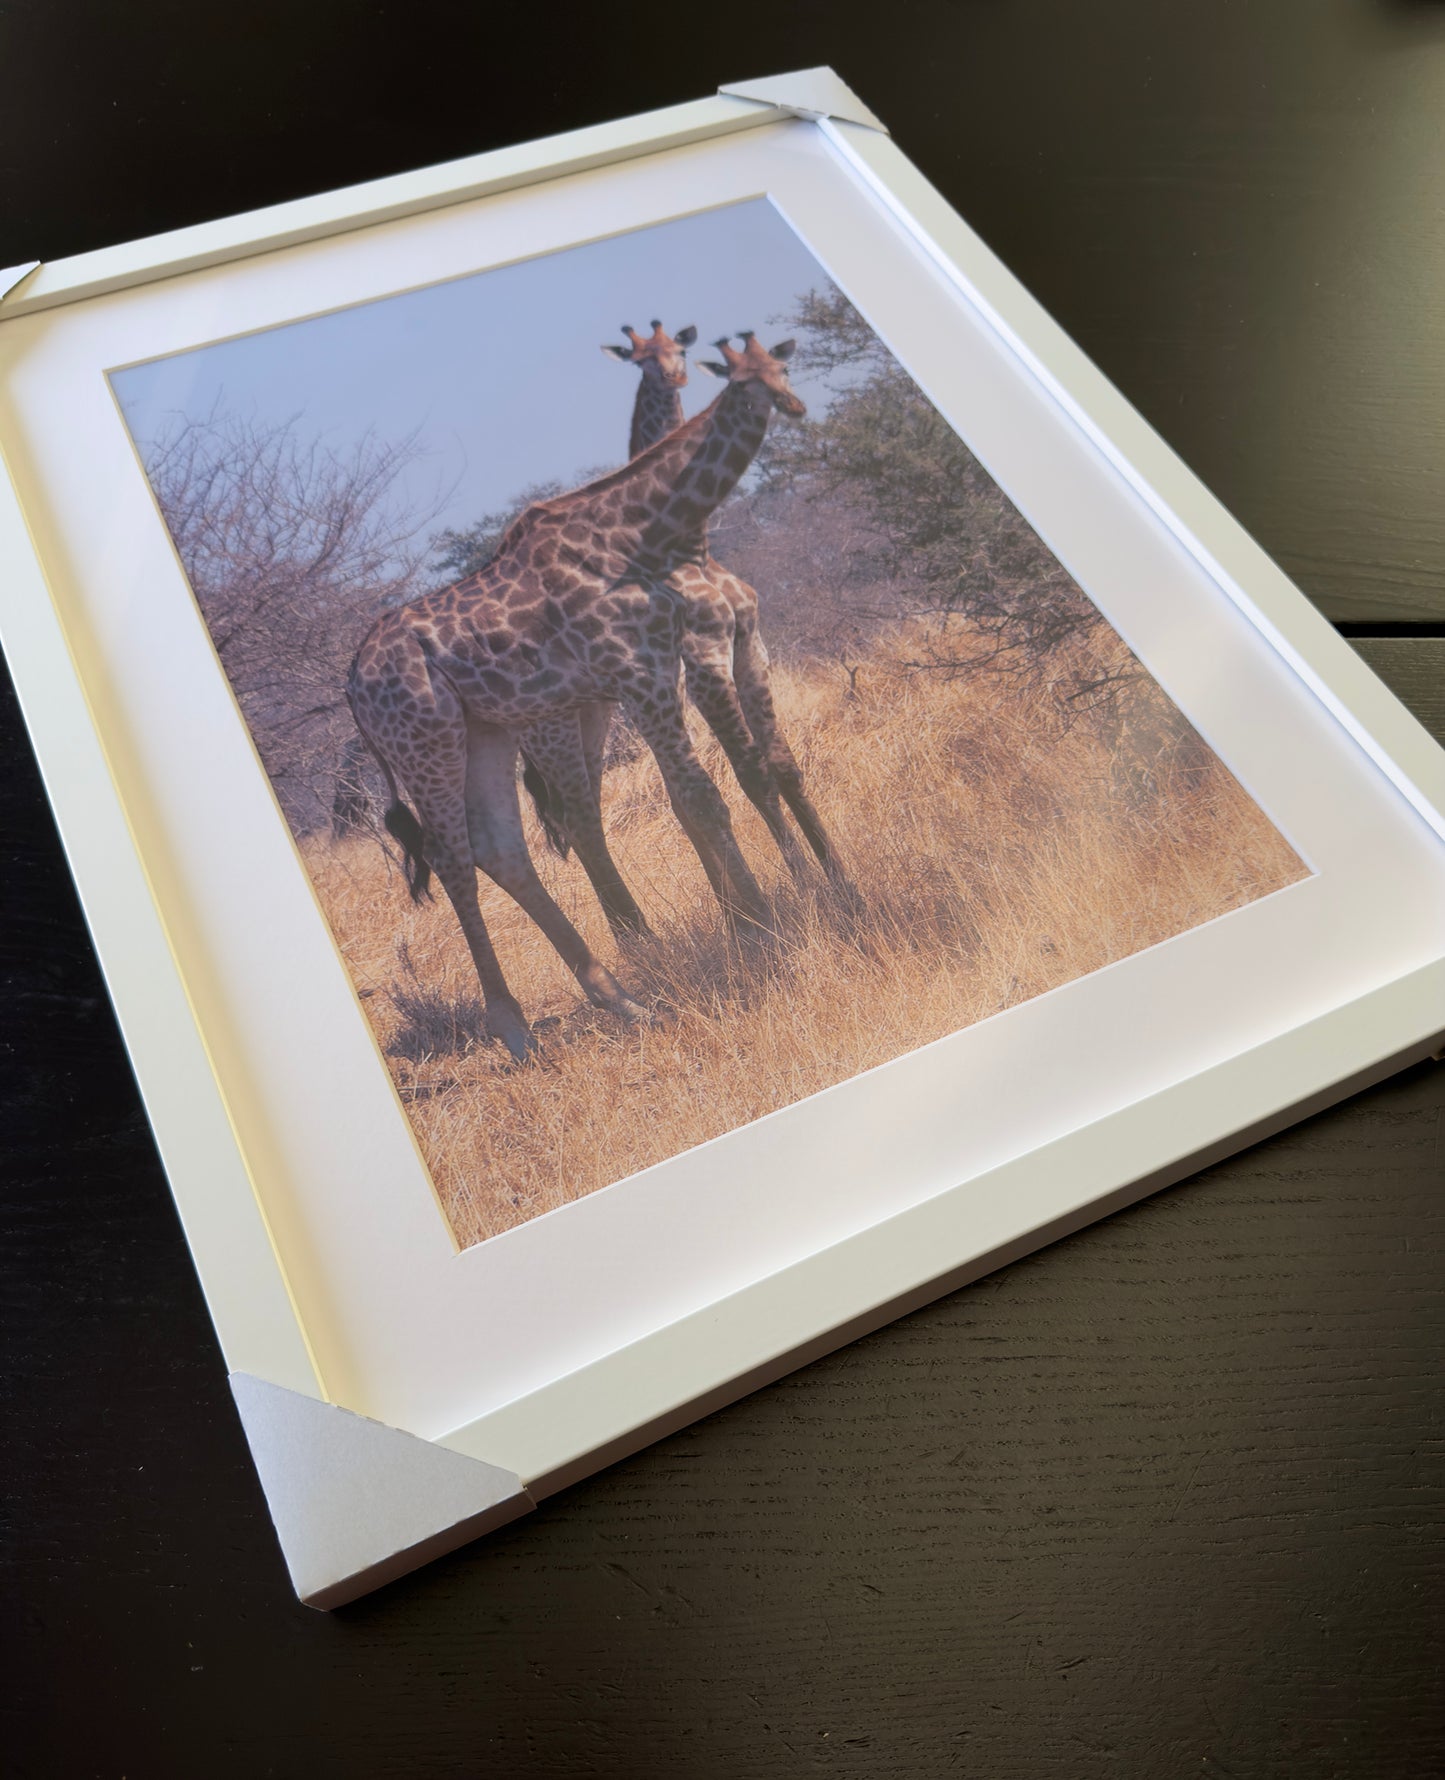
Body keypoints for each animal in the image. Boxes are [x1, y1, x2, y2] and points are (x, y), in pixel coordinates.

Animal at [347, 334, 806, 1062]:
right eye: (745, 378)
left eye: (783, 366)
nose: (795, 406)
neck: (633, 536)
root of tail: (351, 686)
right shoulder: (648, 671)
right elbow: (707, 796)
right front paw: (770, 926)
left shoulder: (657, 670)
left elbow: (706, 791)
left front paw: (776, 914)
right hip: (431, 741)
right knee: (457, 856)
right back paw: (515, 1028)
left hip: (489, 733)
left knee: (502, 846)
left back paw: (624, 1000)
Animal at [522, 322, 850, 933]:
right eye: (642, 360)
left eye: (677, 348)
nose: (675, 377)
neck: (690, 545)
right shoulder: (699, 663)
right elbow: (747, 775)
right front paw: (800, 891)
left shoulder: (727, 654)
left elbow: (760, 772)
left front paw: (826, 884)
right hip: (551, 727)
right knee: (575, 820)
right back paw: (639, 938)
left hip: (595, 716)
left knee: (587, 813)